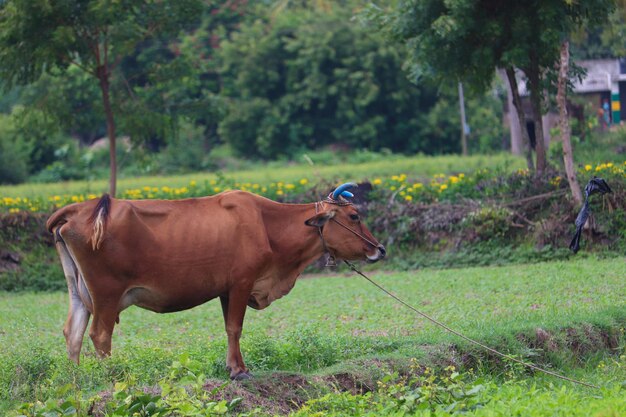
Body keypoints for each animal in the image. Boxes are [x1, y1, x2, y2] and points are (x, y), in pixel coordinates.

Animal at [46, 182, 382, 376]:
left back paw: (76, 379)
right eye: (354, 216)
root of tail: (81, 207)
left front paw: (233, 365)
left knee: (73, 332)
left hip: (79, 292)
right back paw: (111, 376)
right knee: (99, 335)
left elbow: (228, 329)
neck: (267, 224)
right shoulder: (242, 282)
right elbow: (235, 327)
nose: (379, 248)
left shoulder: (225, 289)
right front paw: (239, 370)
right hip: (106, 294)